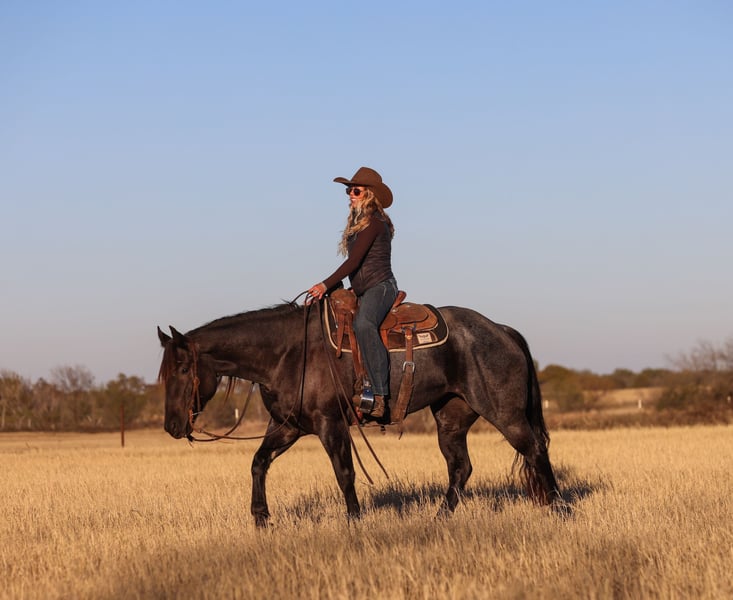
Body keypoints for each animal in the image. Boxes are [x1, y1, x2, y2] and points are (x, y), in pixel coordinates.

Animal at [157, 300, 560, 527]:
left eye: (183, 369)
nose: (172, 426)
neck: (288, 354)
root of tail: (501, 330)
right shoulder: (288, 427)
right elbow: (258, 463)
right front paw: (260, 518)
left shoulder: (330, 424)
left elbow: (344, 473)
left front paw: (354, 520)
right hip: (451, 420)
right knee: (461, 468)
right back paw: (439, 519)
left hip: (504, 414)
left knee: (535, 449)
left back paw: (559, 509)